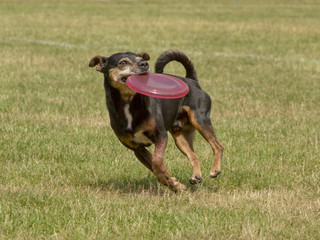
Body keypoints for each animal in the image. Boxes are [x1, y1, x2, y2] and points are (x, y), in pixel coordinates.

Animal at [87, 49, 222, 192]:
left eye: (141, 59)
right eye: (123, 62)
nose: (144, 64)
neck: (129, 102)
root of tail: (191, 80)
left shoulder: (160, 135)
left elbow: (157, 161)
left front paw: (171, 181)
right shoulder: (137, 148)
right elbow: (155, 167)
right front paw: (175, 184)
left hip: (199, 119)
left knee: (217, 146)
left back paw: (215, 170)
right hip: (180, 137)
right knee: (193, 155)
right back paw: (196, 176)